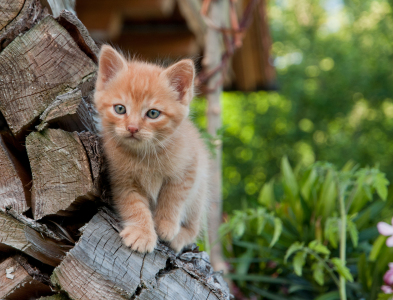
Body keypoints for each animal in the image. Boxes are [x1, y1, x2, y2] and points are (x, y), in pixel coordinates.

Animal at [94, 45, 210, 253]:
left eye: (153, 113)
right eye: (120, 109)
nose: (132, 128)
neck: (145, 155)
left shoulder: (191, 167)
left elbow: (174, 196)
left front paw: (166, 224)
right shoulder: (122, 181)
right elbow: (133, 205)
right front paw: (142, 233)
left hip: (200, 192)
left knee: (195, 226)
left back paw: (181, 237)